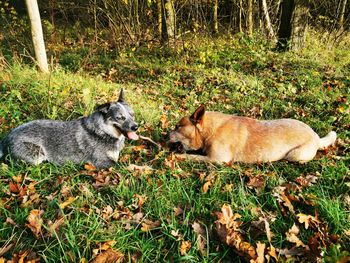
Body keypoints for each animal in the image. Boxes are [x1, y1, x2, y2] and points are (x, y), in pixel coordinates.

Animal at [0, 90, 139, 169]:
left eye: (132, 114)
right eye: (120, 117)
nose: (136, 127)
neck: (102, 132)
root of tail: (5, 138)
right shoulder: (101, 162)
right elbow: (125, 166)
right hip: (37, 156)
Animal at [168, 105, 338, 164]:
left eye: (177, 126)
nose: (166, 133)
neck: (210, 130)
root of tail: (316, 136)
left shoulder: (217, 159)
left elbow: (191, 157)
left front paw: (175, 156)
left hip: (294, 155)